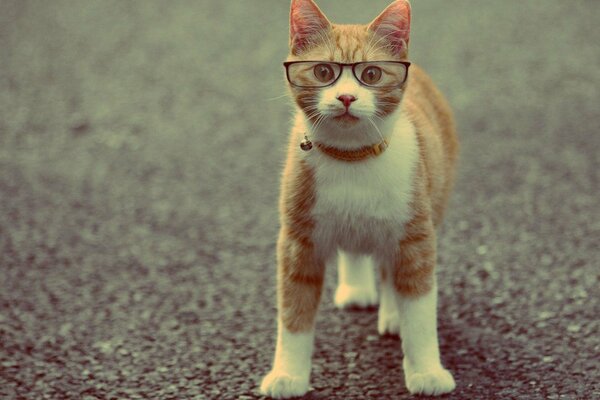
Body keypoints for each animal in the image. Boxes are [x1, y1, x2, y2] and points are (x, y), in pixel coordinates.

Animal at [258, 0, 460, 396]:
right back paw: (356, 287)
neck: (351, 158)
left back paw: (392, 312)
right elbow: (293, 313)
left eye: (371, 74)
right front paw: (288, 375)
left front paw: (427, 371)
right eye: (323, 71)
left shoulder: (416, 236)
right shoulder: (298, 241)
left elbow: (419, 309)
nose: (347, 97)